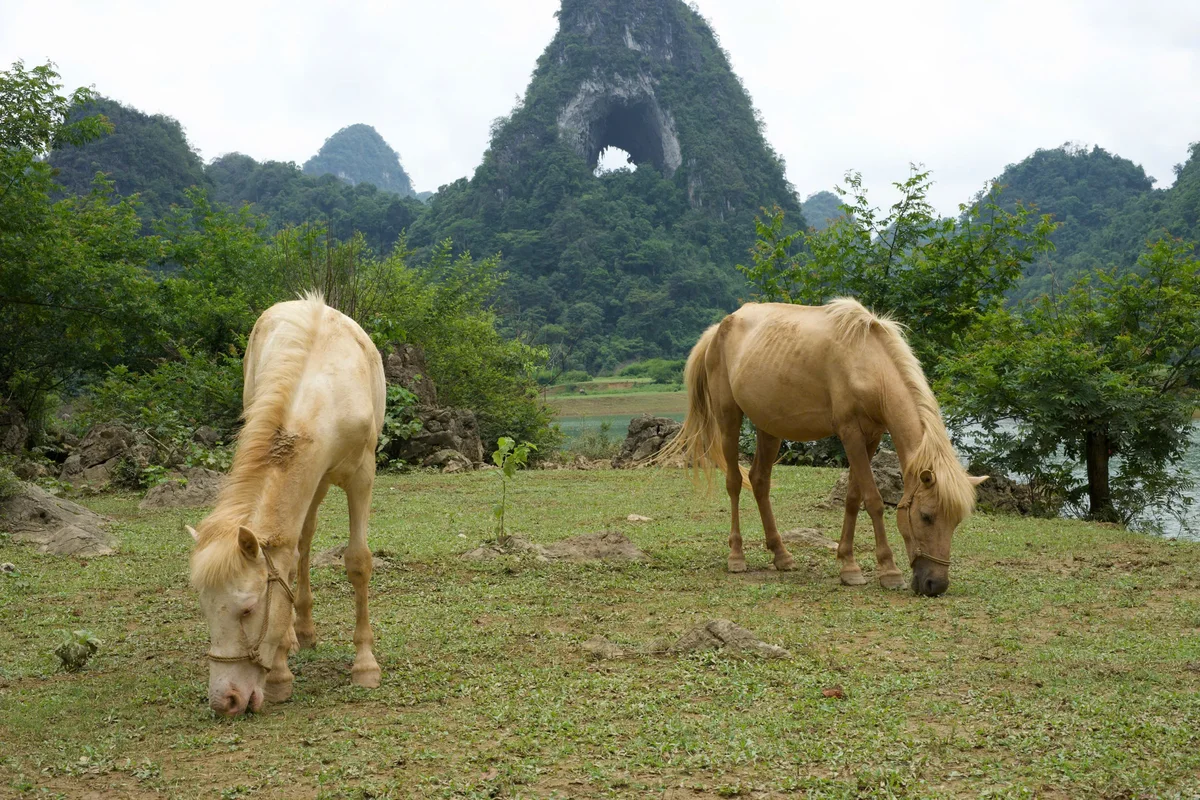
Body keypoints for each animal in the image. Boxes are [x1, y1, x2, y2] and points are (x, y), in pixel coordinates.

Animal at [186, 293, 386, 716]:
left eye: (247, 609)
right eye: (205, 609)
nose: (225, 700)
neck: (322, 390)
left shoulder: (361, 476)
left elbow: (358, 563)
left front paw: (365, 665)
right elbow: (285, 563)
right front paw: (279, 673)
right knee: (297, 551)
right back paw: (298, 636)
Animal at [664, 298, 986, 597]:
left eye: (956, 521)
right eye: (926, 516)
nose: (936, 585)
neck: (867, 361)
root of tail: (720, 328)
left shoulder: (871, 436)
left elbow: (853, 498)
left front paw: (847, 563)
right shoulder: (850, 433)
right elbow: (873, 500)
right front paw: (887, 570)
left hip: (769, 428)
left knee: (759, 481)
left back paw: (781, 555)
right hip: (728, 418)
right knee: (733, 482)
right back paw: (736, 556)